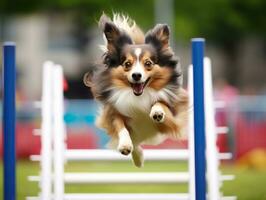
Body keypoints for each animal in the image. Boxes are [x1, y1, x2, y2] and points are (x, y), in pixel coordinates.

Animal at [84, 13, 188, 167]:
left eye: (148, 63)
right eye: (127, 64)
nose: (136, 75)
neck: (139, 96)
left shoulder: (172, 118)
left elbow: (161, 103)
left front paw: (157, 112)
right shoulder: (113, 112)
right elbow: (121, 127)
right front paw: (125, 145)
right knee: (136, 142)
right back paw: (138, 157)